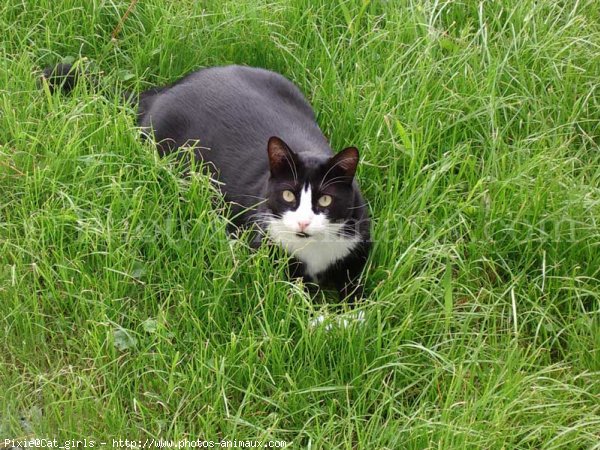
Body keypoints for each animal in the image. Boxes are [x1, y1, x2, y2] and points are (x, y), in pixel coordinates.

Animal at [42, 62, 370, 302]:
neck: (314, 250)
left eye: (325, 199)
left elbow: (357, 295)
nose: (303, 223)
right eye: (289, 196)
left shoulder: (356, 250)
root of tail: (162, 92)